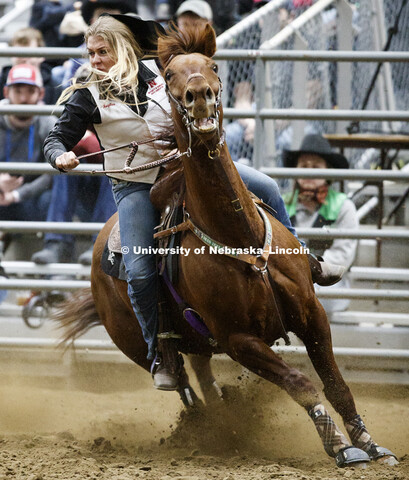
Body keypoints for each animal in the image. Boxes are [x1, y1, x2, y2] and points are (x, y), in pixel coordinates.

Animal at [55, 24, 396, 466]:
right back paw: (201, 425)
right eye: (170, 75)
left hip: (198, 340)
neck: (238, 234)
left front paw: (370, 443)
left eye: (213, 66)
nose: (199, 94)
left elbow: (336, 383)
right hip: (137, 343)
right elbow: (300, 382)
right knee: (184, 386)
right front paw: (340, 446)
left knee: (202, 377)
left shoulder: (312, 313)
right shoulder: (238, 340)